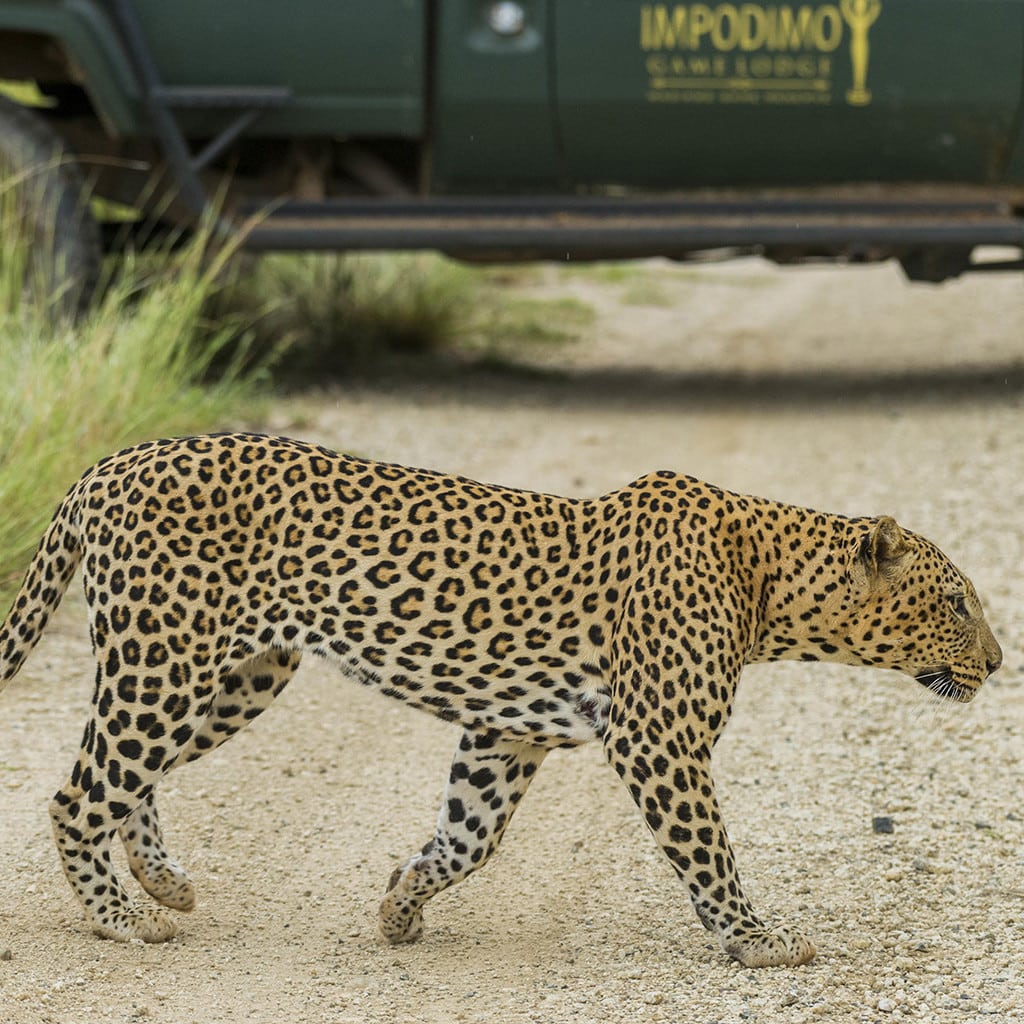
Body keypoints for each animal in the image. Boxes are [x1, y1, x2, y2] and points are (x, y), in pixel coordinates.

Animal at [0, 432, 1002, 967]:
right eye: (957, 601)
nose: (997, 662)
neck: (770, 585)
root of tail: (105, 466)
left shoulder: (504, 735)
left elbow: (468, 841)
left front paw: (400, 904)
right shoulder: (657, 740)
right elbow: (709, 853)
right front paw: (757, 940)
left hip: (234, 673)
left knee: (128, 780)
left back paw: (162, 882)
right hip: (168, 660)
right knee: (78, 794)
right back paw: (120, 917)